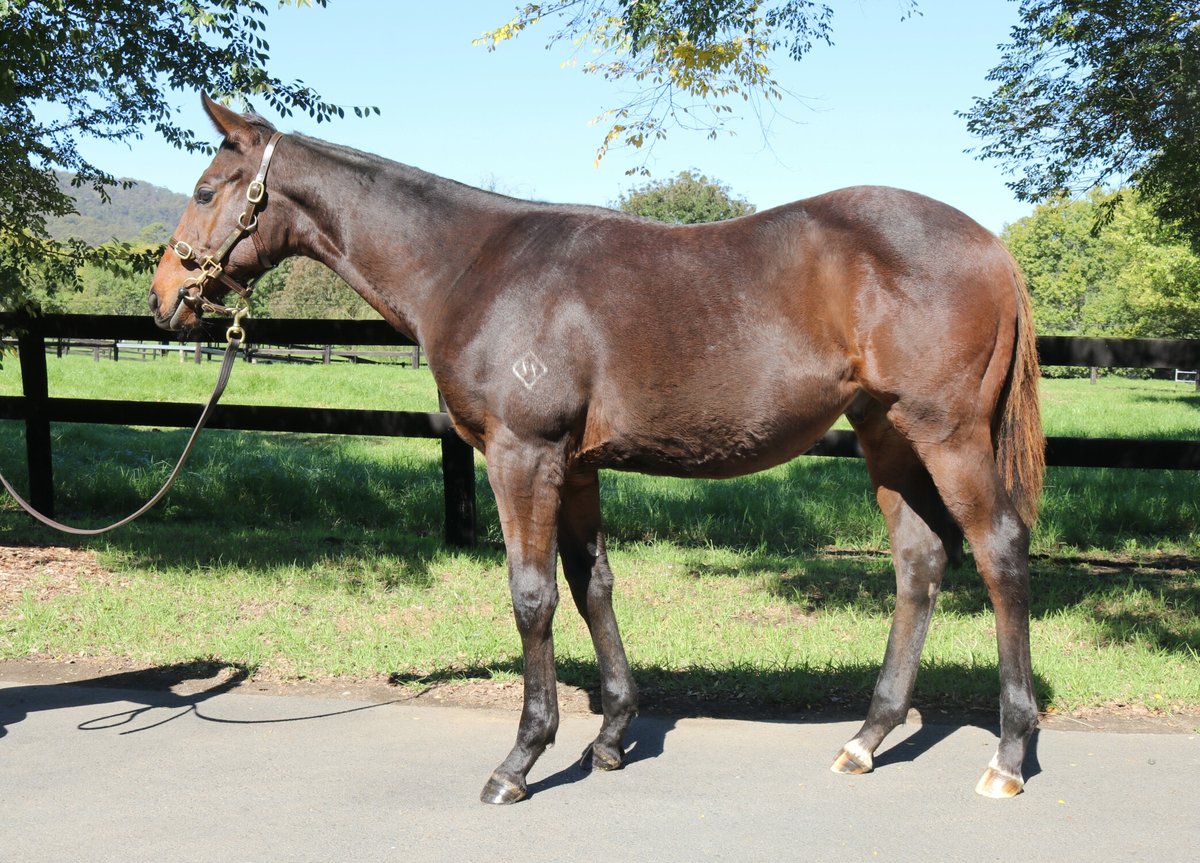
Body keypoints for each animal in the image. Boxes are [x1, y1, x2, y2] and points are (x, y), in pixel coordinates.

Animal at [150, 94, 1046, 801]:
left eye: (204, 190)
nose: (164, 297)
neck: (473, 266)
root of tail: (993, 246)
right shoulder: (576, 467)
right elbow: (592, 586)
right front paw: (611, 735)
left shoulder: (523, 454)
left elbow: (533, 596)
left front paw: (520, 758)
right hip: (885, 435)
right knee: (919, 563)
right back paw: (868, 737)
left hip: (948, 434)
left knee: (999, 551)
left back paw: (1008, 752)